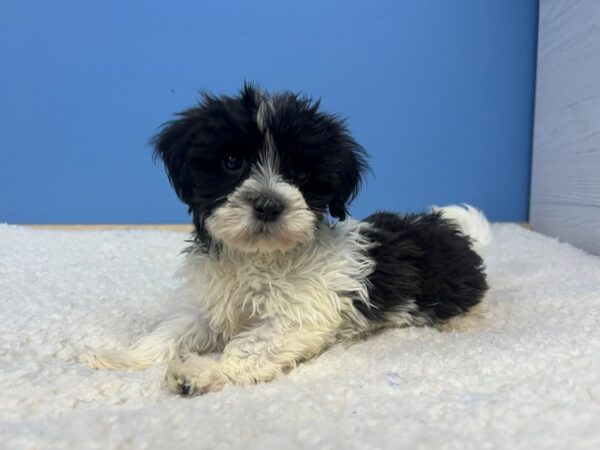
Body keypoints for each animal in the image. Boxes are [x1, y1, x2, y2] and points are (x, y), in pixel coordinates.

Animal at [81, 83, 492, 394]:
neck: (257, 256)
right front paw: (122, 357)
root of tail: (453, 229)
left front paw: (200, 373)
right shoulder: (211, 306)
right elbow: (172, 331)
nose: (268, 204)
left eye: (300, 173)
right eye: (232, 162)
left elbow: (245, 350)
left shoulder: (301, 316)